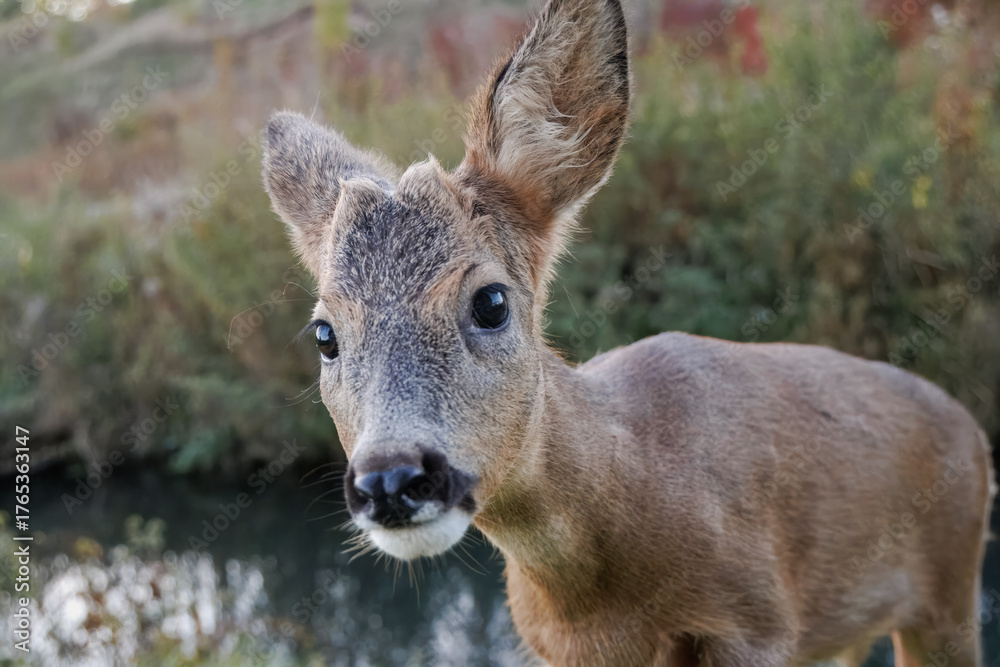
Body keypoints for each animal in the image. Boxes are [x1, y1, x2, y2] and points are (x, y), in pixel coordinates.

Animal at [261, 0, 995, 664]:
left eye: (491, 301)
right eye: (324, 334)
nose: (391, 479)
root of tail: (974, 430)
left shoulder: (757, 619)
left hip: (950, 593)